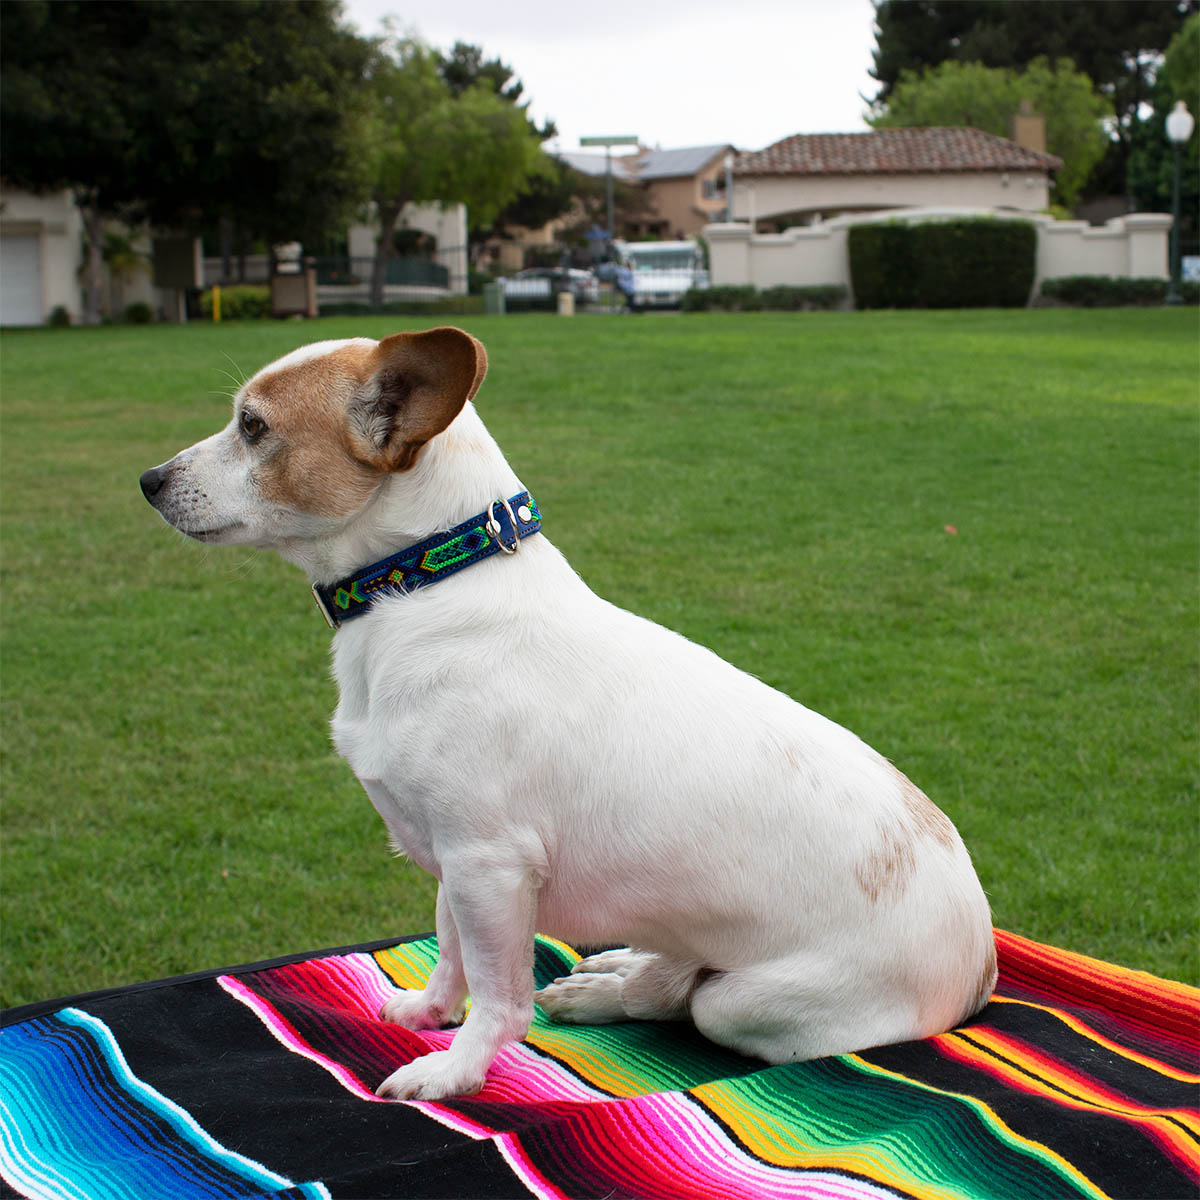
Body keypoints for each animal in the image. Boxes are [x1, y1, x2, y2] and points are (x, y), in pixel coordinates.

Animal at [140, 326, 993, 1099]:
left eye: (254, 427)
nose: (148, 479)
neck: (418, 587)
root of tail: (984, 962)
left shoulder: (488, 863)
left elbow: (499, 996)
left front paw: (455, 1071)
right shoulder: (454, 862)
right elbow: (450, 949)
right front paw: (429, 1012)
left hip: (745, 1000)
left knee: (685, 998)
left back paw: (612, 990)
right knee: (670, 975)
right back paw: (613, 973)